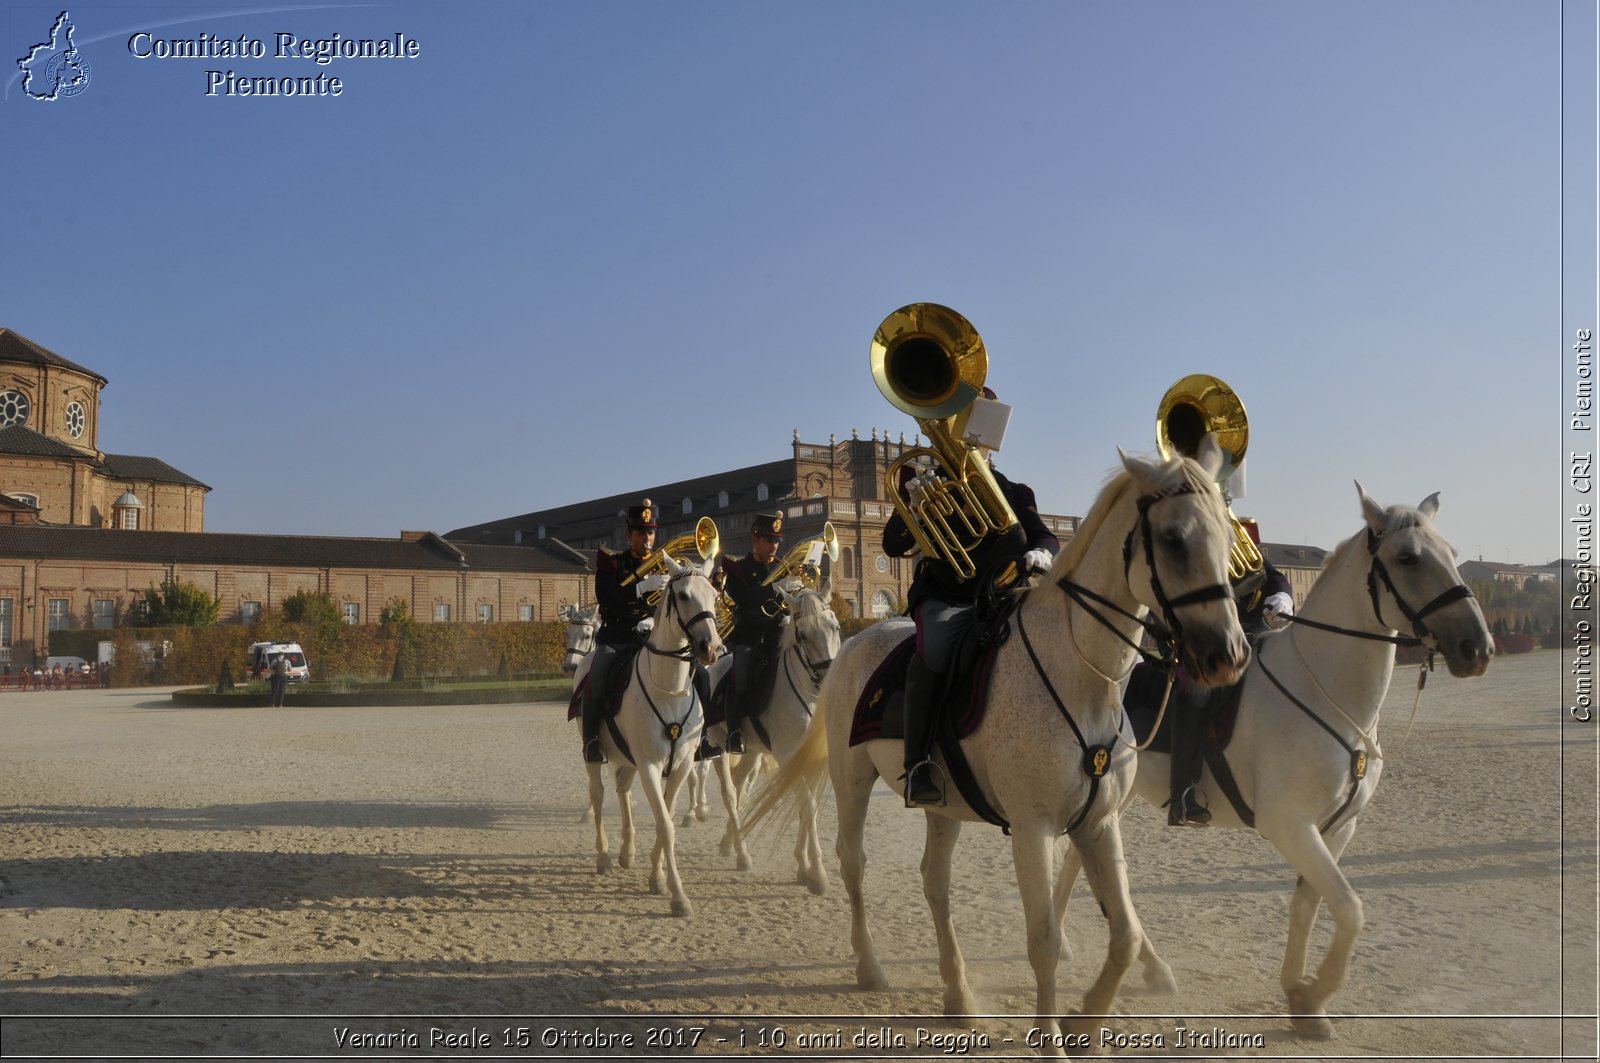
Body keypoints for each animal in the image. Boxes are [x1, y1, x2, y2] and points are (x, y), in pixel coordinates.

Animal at [588, 557, 726, 915]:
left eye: (714, 594)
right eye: (683, 595)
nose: (712, 648)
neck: (669, 689)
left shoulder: (679, 765)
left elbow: (669, 818)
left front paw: (657, 877)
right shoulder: (650, 764)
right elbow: (664, 824)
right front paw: (678, 896)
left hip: (628, 759)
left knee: (623, 790)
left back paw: (627, 852)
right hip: (595, 755)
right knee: (598, 795)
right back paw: (604, 857)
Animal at [707, 585, 844, 890]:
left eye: (836, 627)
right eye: (803, 635)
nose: (829, 680)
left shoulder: (808, 757)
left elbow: (805, 805)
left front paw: (803, 866)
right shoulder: (788, 753)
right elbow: (807, 804)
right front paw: (816, 872)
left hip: (753, 751)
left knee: (741, 788)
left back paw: (729, 842)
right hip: (718, 747)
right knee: (729, 792)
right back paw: (742, 853)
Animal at [742, 438, 1254, 1056]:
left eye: (1229, 535)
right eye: (1175, 538)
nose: (1228, 654)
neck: (1082, 676)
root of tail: (858, 639)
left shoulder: (1097, 822)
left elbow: (1126, 935)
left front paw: (1085, 1022)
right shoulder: (1034, 828)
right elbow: (1044, 940)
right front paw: (1052, 1038)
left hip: (942, 804)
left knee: (934, 882)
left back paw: (959, 995)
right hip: (852, 779)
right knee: (853, 862)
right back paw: (870, 966)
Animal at [1062, 480, 1497, 1037]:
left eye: (1454, 554)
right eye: (1407, 557)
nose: (1478, 648)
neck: (1328, 693)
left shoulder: (1337, 827)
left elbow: (1308, 906)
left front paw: (1300, 997)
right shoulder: (1289, 823)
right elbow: (1350, 908)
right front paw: (1314, 992)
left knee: (1077, 865)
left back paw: (1125, 960)